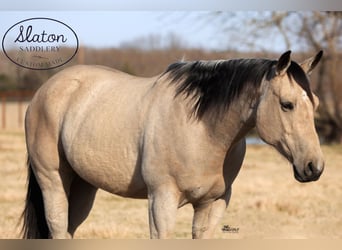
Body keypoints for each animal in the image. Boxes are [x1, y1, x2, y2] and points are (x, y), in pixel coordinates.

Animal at [22, 50, 326, 238]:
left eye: (316, 103)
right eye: (287, 104)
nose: (314, 167)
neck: (202, 130)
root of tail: (44, 91)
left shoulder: (212, 205)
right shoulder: (161, 203)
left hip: (83, 186)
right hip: (53, 181)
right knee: (58, 227)